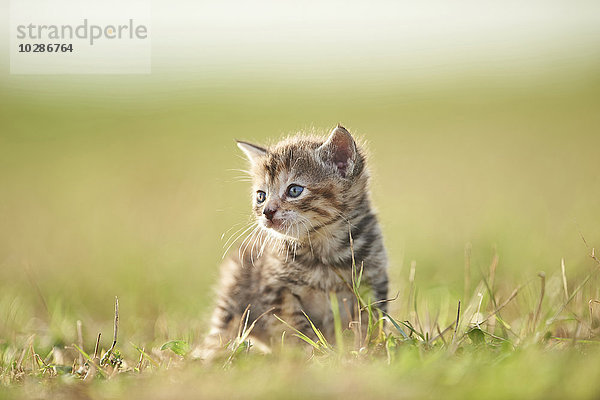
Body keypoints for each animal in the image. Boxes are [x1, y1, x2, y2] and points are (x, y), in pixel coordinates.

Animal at [202, 125, 390, 356]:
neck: (324, 248)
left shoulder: (372, 280)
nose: (267, 212)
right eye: (261, 196)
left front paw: (364, 350)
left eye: (294, 190)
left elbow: (368, 322)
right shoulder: (277, 288)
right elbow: (293, 327)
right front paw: (311, 355)